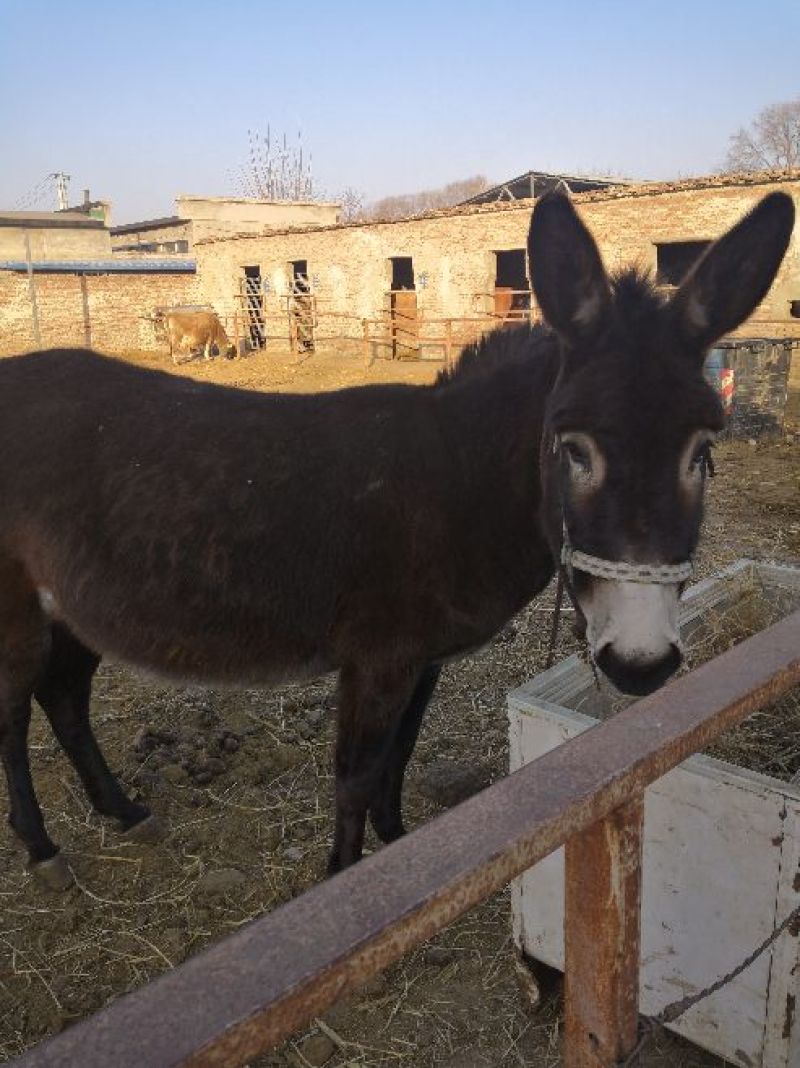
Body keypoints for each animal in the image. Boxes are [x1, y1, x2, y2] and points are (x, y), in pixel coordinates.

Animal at [0, 191, 793, 889]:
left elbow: (400, 755)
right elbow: (355, 773)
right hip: (16, 611)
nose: (640, 665)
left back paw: (124, 811)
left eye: (702, 450)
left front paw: (398, 845)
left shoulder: (422, 657)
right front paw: (346, 883)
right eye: (573, 449)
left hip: (76, 609)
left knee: (63, 699)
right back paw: (44, 851)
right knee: (13, 713)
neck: (458, 477)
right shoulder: (376, 657)